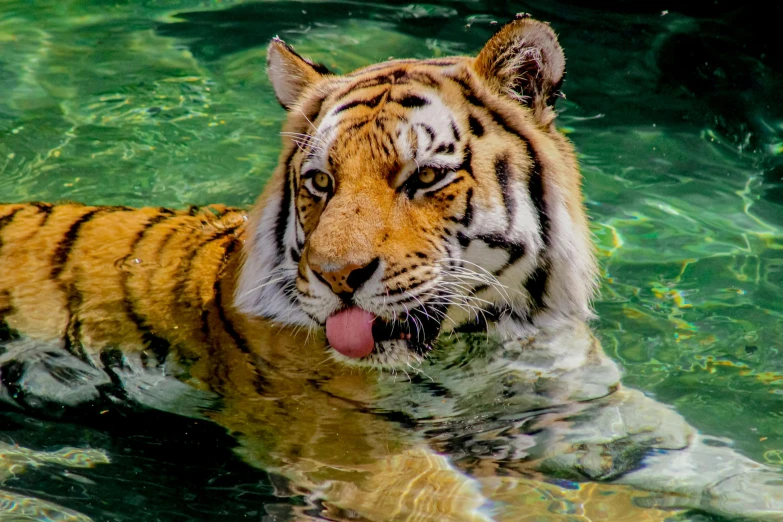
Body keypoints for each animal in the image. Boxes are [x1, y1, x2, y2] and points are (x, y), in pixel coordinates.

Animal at [1, 16, 783, 520]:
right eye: (319, 183)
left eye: (424, 177)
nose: (335, 276)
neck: (494, 335)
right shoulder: (341, 433)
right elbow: (436, 496)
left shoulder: (582, 402)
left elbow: (709, 463)